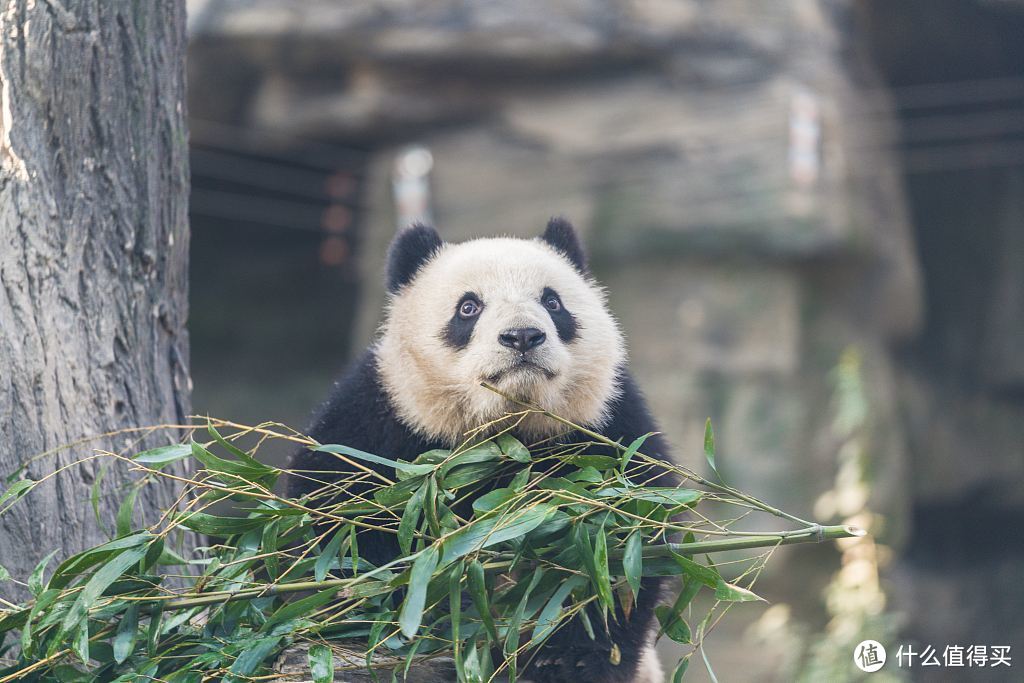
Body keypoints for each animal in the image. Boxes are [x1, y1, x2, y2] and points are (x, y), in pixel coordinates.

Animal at [284, 219, 675, 683]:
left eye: (552, 302)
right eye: (468, 307)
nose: (522, 336)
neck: (504, 430)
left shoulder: (604, 430)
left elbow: (618, 548)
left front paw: (563, 658)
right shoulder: (381, 423)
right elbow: (342, 537)